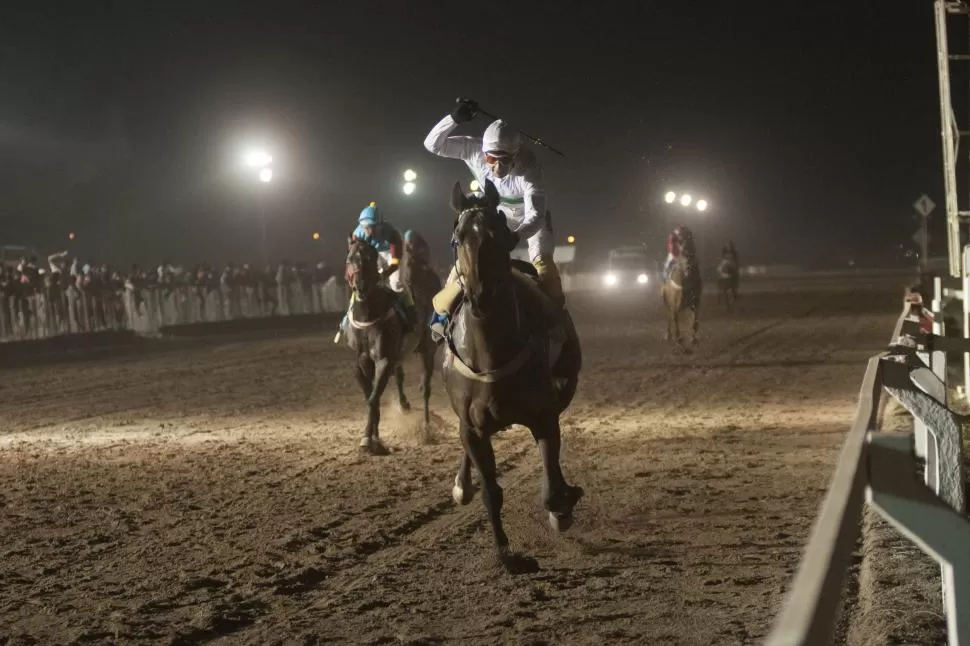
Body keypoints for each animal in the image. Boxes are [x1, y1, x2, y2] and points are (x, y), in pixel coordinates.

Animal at [440, 180, 584, 576]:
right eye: (458, 238)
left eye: (500, 235)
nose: (480, 295)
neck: (490, 353)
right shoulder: (472, 427)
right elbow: (491, 492)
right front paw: (507, 555)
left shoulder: (544, 415)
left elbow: (550, 486)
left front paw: (562, 508)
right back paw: (461, 486)